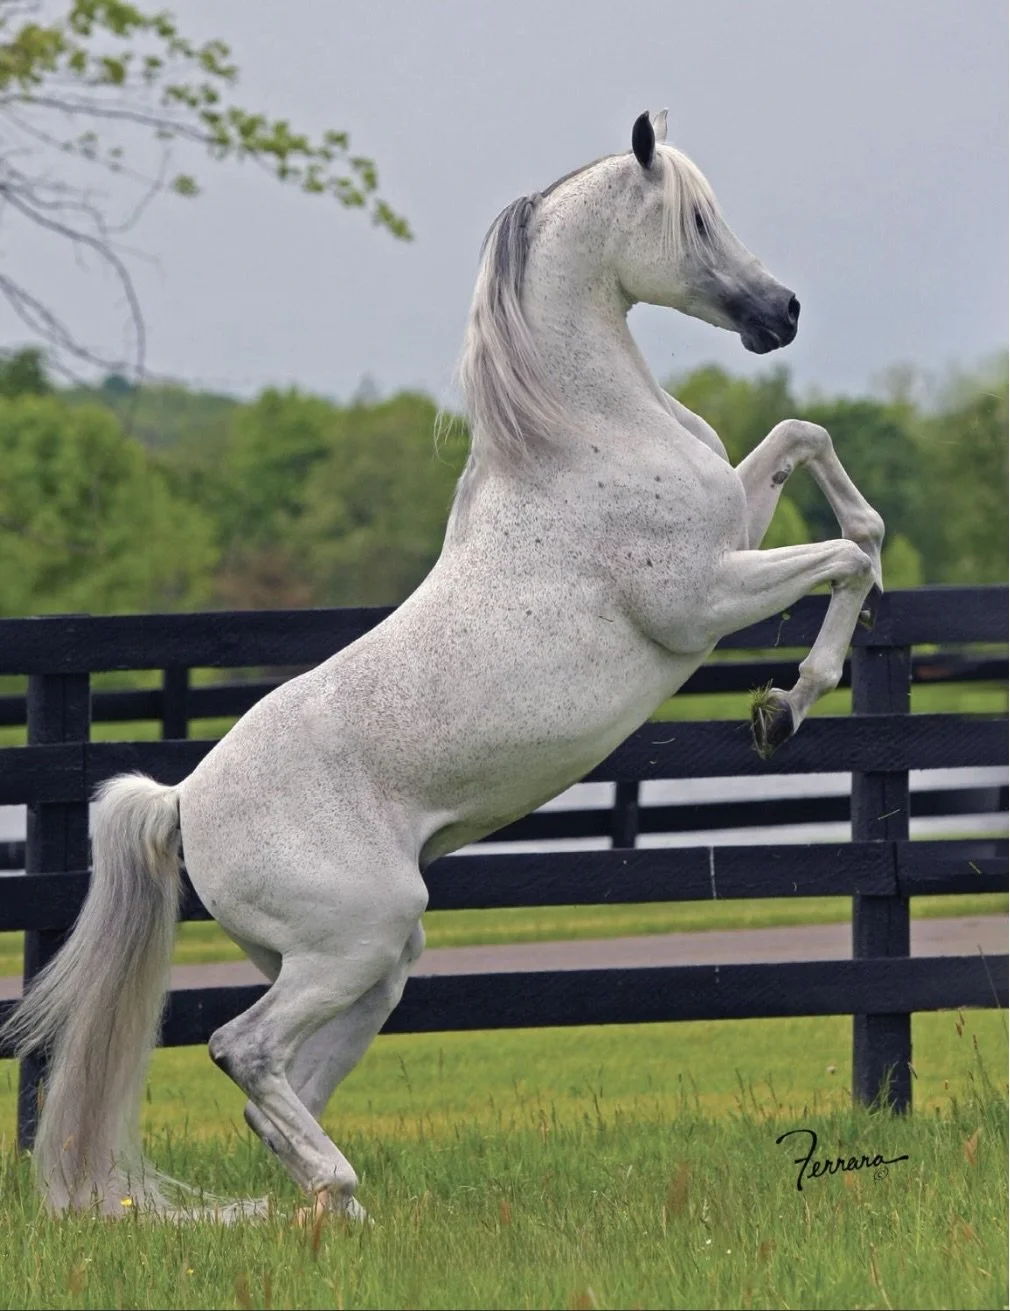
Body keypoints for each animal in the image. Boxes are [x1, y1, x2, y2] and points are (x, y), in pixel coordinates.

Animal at [2, 109, 883, 1220]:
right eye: (693, 219)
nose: (782, 311)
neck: (585, 438)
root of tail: (182, 800)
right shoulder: (704, 602)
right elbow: (845, 557)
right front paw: (786, 705)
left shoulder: (734, 522)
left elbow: (809, 447)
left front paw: (791, 687)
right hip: (358, 941)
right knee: (241, 1050)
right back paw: (338, 1188)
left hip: (370, 963)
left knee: (273, 1097)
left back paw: (331, 1211)